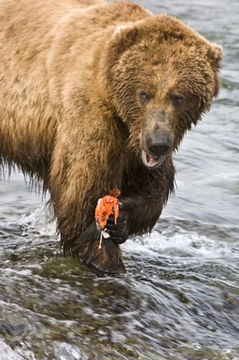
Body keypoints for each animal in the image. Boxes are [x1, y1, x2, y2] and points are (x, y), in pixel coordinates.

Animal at [0, 0, 222, 272]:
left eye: (178, 97)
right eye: (144, 94)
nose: (157, 144)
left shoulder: (135, 142)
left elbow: (155, 185)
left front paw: (121, 220)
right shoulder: (90, 118)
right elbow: (81, 199)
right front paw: (107, 261)